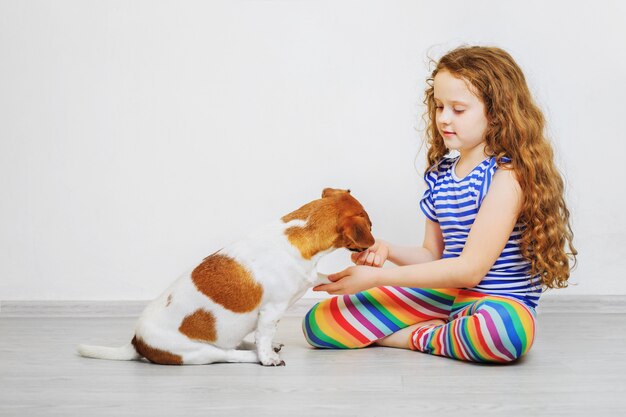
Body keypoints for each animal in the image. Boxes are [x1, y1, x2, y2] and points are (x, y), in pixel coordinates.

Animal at [76, 187, 372, 366]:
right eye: (370, 225)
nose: (374, 241)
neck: (300, 231)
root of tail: (137, 342)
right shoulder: (271, 311)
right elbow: (263, 336)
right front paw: (267, 357)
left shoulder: (308, 278)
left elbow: (322, 277)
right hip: (198, 353)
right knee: (230, 354)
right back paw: (256, 355)